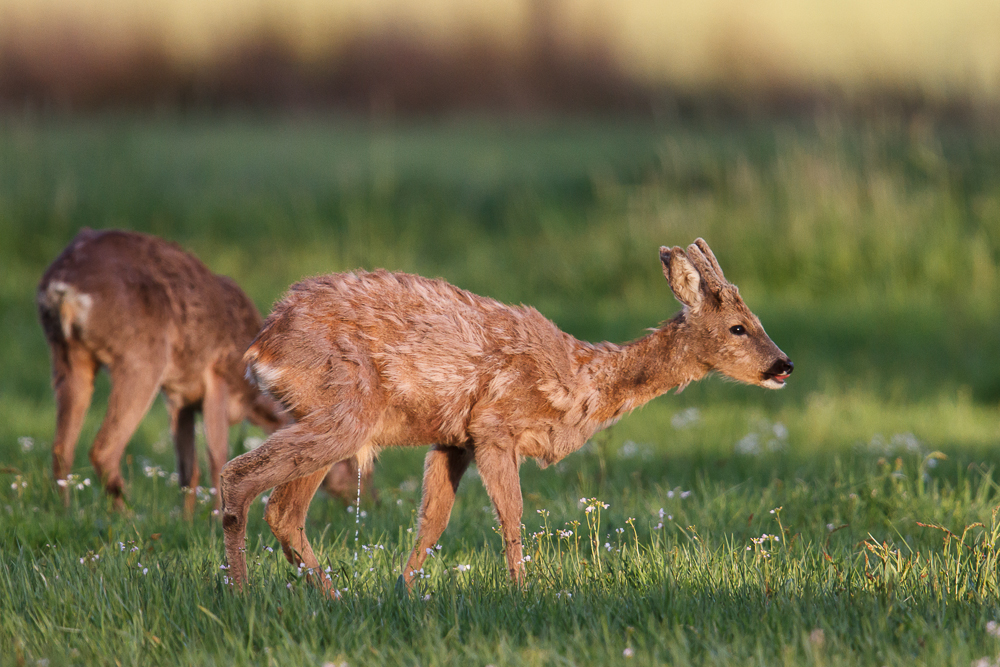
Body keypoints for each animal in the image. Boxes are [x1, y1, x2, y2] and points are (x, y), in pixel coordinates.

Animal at [35, 230, 374, 516]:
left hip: (66, 356)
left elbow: (188, 469)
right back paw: (128, 517)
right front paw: (212, 521)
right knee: (103, 448)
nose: (370, 499)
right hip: (140, 358)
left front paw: (188, 522)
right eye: (350, 459)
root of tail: (62, 287)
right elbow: (217, 458)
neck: (249, 397)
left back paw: (65, 512)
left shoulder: (179, 396)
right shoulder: (216, 375)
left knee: (61, 446)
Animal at [223, 239, 792, 588]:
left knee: (283, 510)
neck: (579, 380)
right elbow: (512, 515)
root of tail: (264, 345)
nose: (783, 364)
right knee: (241, 478)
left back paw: (324, 594)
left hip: (322, 416)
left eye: (759, 321)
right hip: (344, 407)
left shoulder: (452, 438)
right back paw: (245, 592)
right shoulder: (495, 426)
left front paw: (405, 590)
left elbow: (431, 521)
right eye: (739, 327)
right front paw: (524, 589)